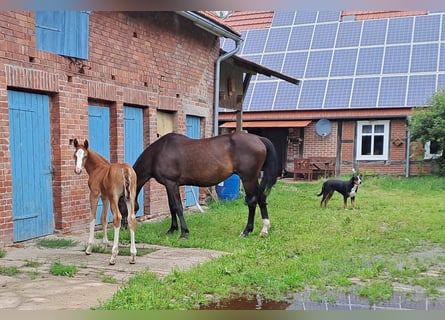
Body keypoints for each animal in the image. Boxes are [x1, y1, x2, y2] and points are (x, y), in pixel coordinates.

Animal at [118, 131, 278, 239]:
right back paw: (264, 229)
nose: (124, 225)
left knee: (252, 202)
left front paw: (184, 233)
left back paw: (246, 231)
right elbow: (171, 206)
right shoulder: (169, 185)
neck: (158, 153)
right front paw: (172, 229)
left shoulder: (171, 183)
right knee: (262, 198)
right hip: (253, 179)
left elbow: (178, 207)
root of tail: (258, 138)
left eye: (120, 203)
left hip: (248, 178)